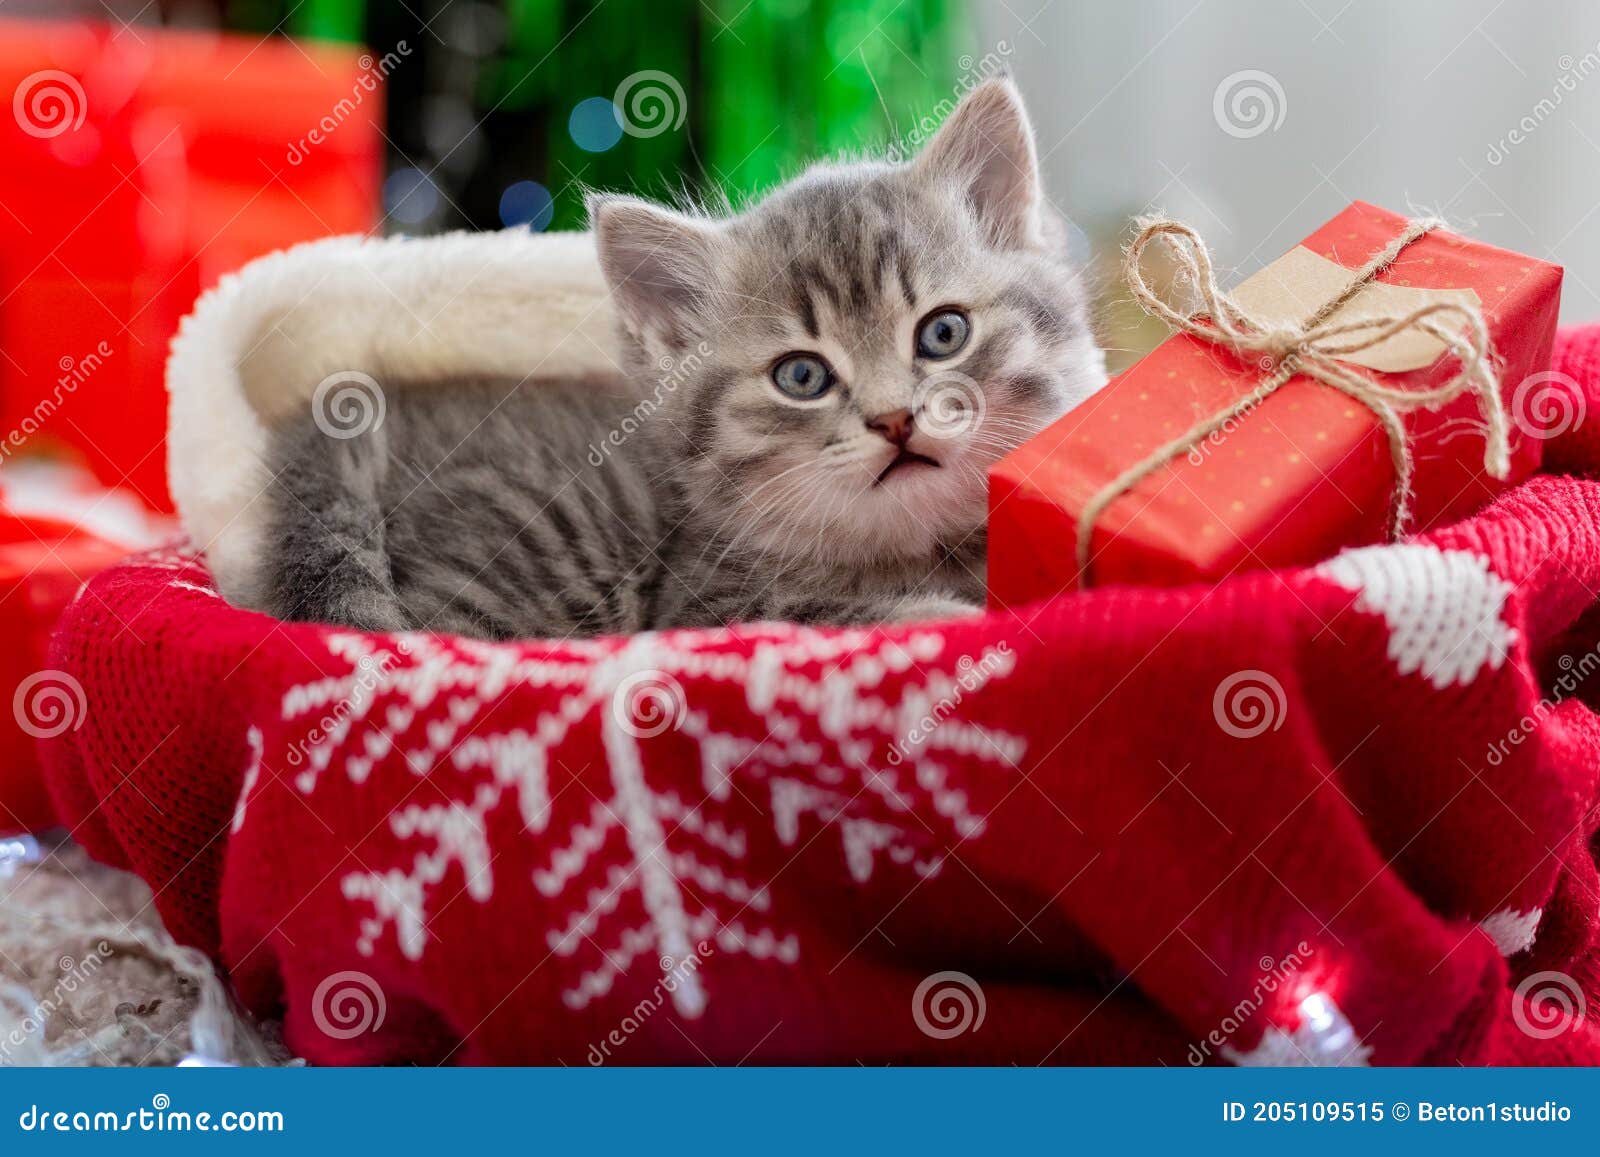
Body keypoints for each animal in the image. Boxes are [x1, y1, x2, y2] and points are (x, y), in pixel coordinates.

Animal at [265, 81, 1113, 643]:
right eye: (801, 376)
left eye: (942, 333)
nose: (895, 419)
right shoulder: (705, 607)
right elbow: (860, 617)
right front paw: (954, 613)